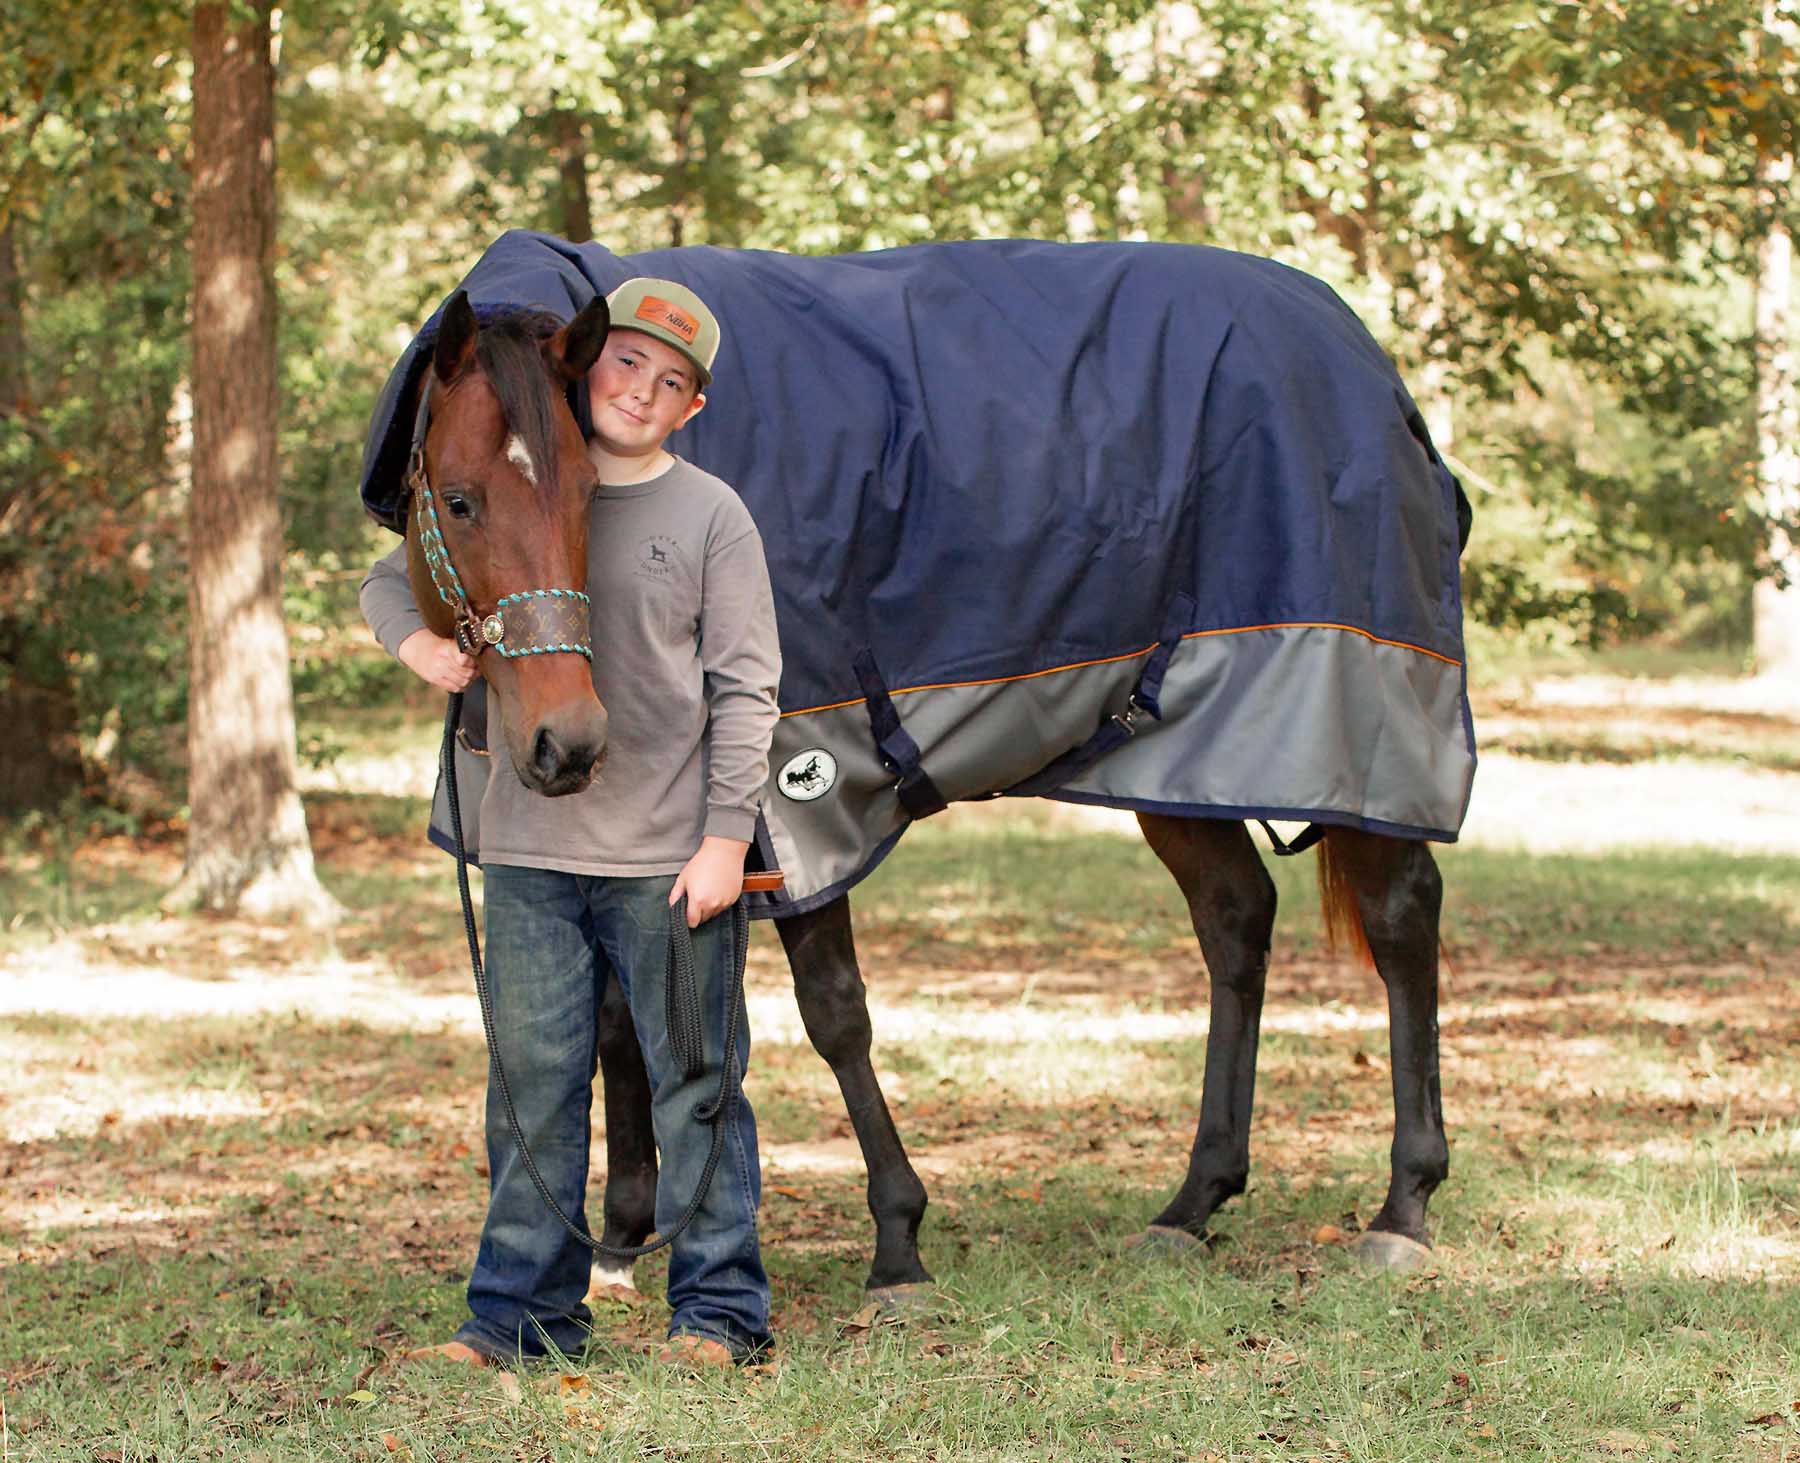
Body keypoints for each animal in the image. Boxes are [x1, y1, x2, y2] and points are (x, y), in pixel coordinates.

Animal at [387, 244, 1465, 1310]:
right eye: (460, 499)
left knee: (1401, 915)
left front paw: (897, 1241)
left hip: (1358, 729)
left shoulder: (790, 796)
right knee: (1235, 921)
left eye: (584, 494)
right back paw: (1193, 1201)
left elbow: (834, 1014)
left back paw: (1404, 1207)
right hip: (1178, 768)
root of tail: (1369, 367)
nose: (566, 744)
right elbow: (619, 1017)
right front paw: (617, 1238)